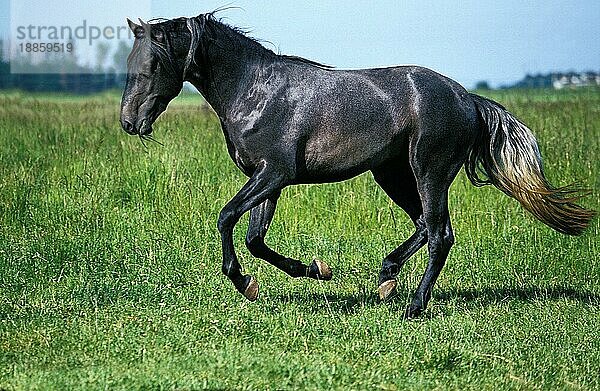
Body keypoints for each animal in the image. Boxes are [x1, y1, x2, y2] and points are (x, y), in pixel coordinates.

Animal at [119, 13, 592, 318]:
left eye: (153, 64)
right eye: (129, 64)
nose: (129, 122)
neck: (254, 91)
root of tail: (466, 98)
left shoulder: (275, 173)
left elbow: (226, 218)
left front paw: (245, 282)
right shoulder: (267, 178)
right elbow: (255, 238)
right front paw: (313, 270)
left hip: (429, 171)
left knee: (440, 233)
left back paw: (413, 306)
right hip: (392, 173)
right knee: (424, 226)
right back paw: (386, 280)